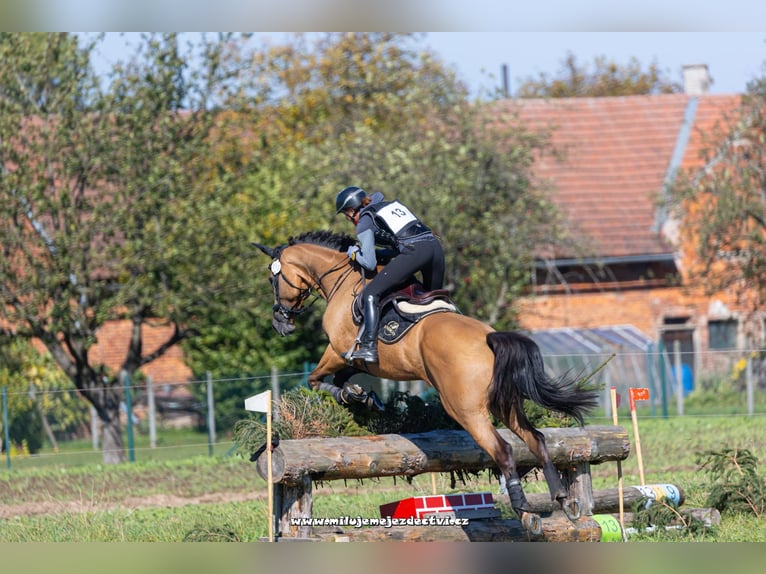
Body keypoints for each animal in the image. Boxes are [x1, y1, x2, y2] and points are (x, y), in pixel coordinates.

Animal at [252, 231, 600, 536]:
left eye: (272, 279)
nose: (280, 323)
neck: (343, 280)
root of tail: (489, 338)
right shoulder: (352, 359)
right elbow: (340, 380)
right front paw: (361, 396)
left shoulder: (339, 350)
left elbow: (316, 379)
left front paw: (354, 395)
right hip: (506, 403)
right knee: (536, 439)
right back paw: (564, 501)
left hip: (466, 410)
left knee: (502, 451)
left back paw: (526, 512)